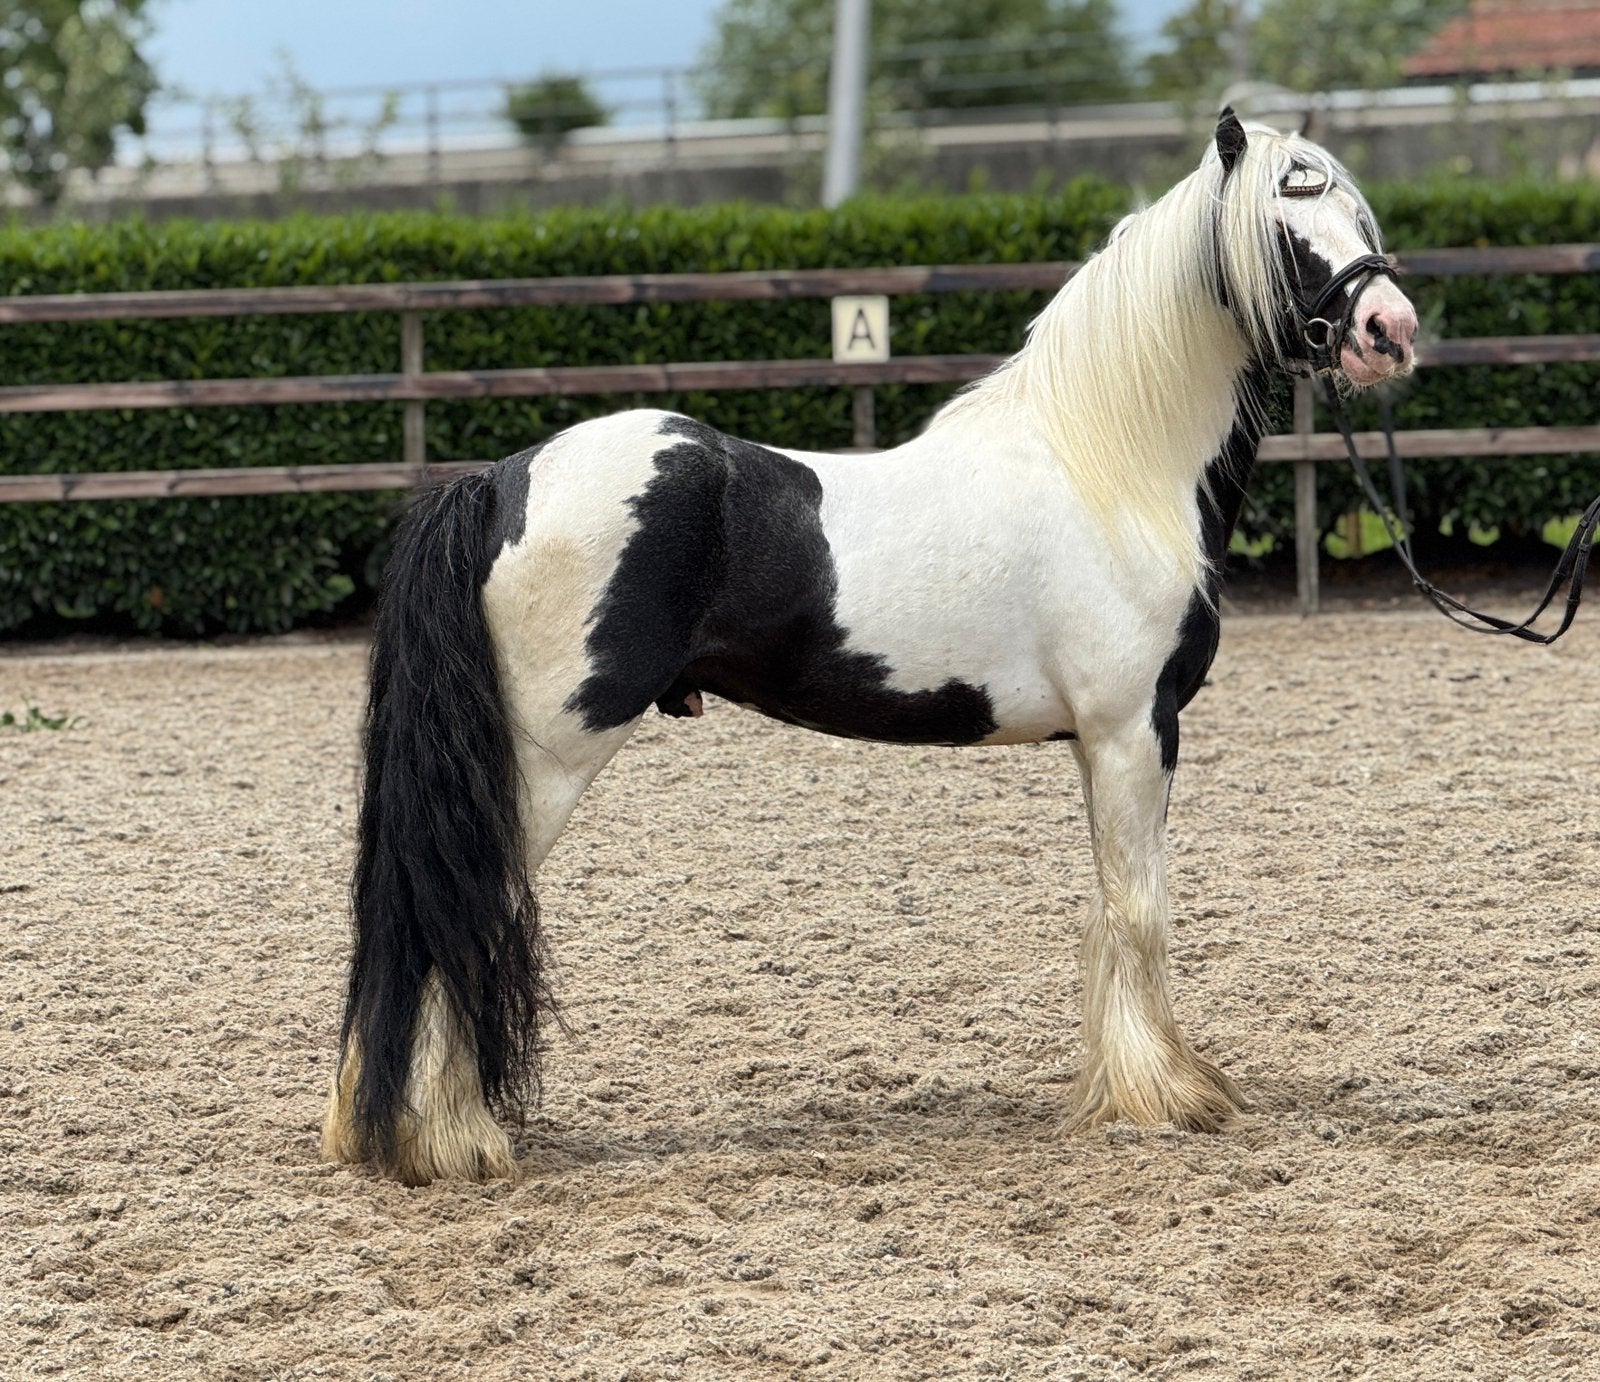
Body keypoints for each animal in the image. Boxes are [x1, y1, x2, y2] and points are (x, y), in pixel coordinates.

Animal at [320, 111, 1418, 1185]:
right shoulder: (1129, 730)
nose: (1390, 331)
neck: (1111, 467)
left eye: (1360, 217)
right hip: (543, 756)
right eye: (1286, 228)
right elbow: (1140, 909)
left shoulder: (1108, 743)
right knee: (458, 912)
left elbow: (1112, 910)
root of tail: (501, 481)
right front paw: (1167, 1098)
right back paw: (457, 1141)